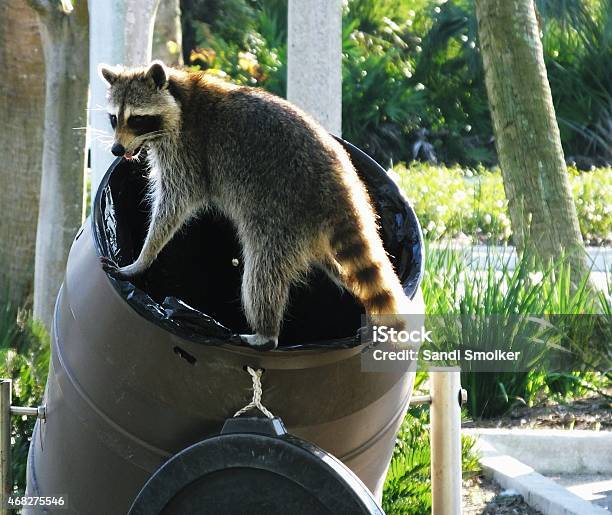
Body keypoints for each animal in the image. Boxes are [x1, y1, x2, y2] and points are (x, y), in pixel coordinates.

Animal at [98, 60, 408, 350]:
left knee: (262, 271)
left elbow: (174, 204)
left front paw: (142, 258)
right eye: (114, 118)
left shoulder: (188, 151)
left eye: (137, 119)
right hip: (309, 229)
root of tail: (340, 185)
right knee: (336, 266)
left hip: (283, 215)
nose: (116, 149)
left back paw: (265, 333)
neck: (181, 99)